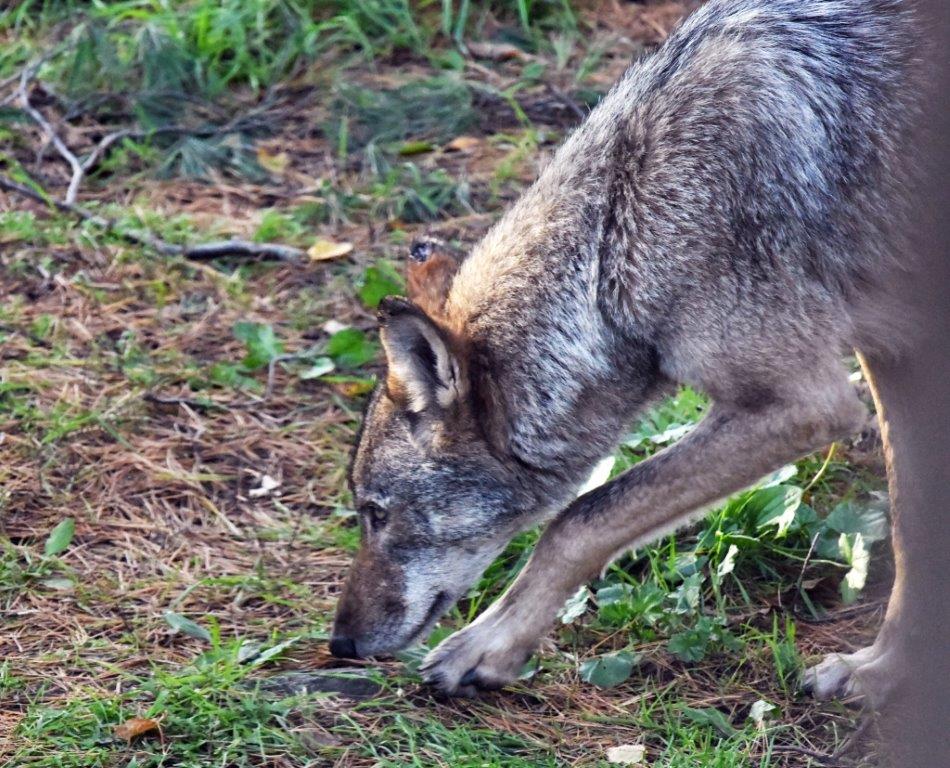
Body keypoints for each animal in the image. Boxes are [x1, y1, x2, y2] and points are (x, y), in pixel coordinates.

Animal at [330, 0, 922, 701]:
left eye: (376, 513)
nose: (339, 644)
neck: (617, 234)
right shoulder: (892, 353)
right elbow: (912, 527)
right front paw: (885, 670)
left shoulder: (804, 402)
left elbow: (578, 520)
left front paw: (488, 647)